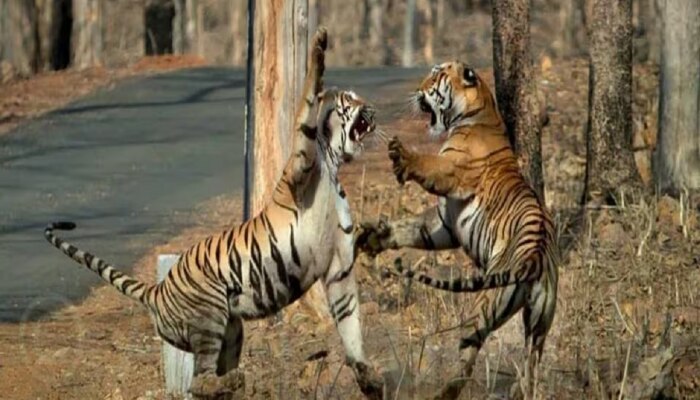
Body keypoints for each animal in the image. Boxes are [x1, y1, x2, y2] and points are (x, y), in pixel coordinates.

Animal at [45, 26, 382, 398]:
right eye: (349, 99)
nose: (372, 108)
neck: (332, 165)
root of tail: (156, 291)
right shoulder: (300, 163)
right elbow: (308, 97)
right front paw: (319, 49)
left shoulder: (339, 265)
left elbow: (350, 324)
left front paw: (369, 377)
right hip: (209, 315)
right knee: (199, 380)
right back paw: (235, 380)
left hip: (231, 329)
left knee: (205, 379)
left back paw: (233, 382)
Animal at [356, 60, 556, 400]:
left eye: (436, 76)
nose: (417, 89)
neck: (480, 110)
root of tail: (535, 256)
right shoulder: (444, 223)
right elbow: (410, 229)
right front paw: (373, 238)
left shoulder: (448, 172)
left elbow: (427, 165)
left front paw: (402, 154)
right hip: (540, 323)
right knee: (531, 364)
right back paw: (520, 390)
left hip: (483, 306)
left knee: (467, 359)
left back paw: (444, 393)